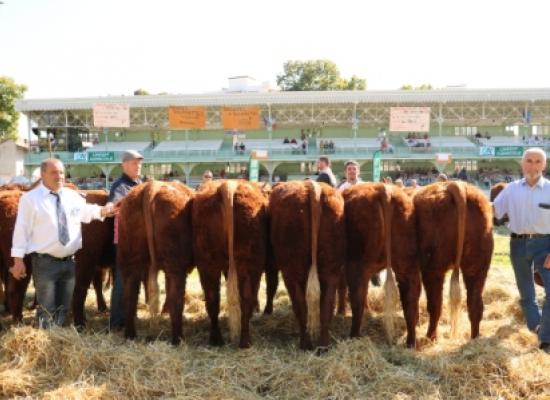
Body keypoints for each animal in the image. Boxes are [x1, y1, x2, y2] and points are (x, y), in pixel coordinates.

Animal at [116, 180, 194, 346]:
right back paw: (178, 339)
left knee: (129, 296)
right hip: (175, 264)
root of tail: (152, 185)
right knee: (176, 297)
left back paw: (130, 335)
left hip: (130, 260)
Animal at [194, 180, 270, 348]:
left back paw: (216, 340)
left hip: (208, 264)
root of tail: (228, 184)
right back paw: (245, 341)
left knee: (212, 299)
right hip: (250, 263)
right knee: (247, 298)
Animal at [268, 181, 344, 350]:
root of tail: (311, 186)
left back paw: (305, 344)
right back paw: (323, 346)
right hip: (331, 268)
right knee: (326, 305)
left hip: (292, 271)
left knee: (300, 306)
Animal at [344, 184, 422, 346]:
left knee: (358, 299)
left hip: (357, 267)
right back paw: (411, 342)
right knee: (411, 299)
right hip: (407, 266)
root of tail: (383, 188)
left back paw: (353, 336)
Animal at [416, 181, 494, 340]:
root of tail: (454, 184)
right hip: (477, 267)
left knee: (435, 305)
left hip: (432, 269)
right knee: (475, 305)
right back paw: (474, 338)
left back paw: (430, 337)